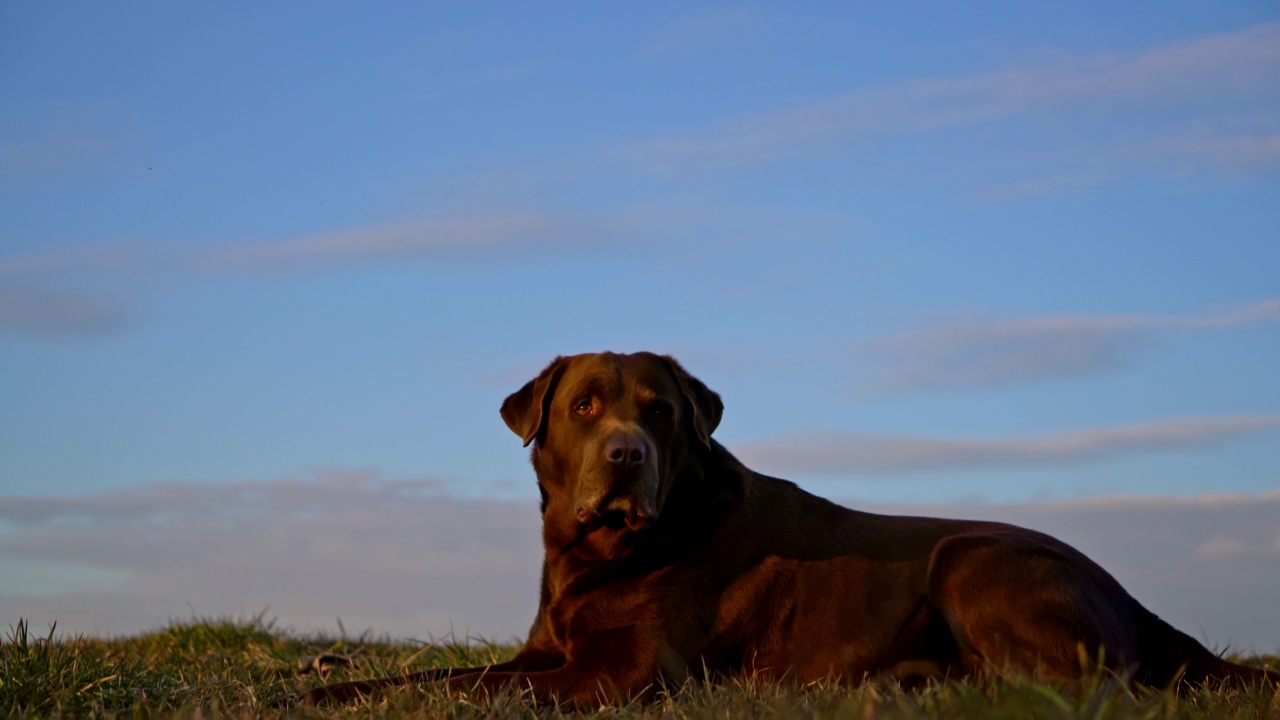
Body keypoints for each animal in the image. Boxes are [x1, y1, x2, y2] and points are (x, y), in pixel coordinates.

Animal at [302, 351, 1280, 702]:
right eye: (584, 407)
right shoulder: (543, 651)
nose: (624, 455)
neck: (600, 552)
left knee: (1085, 687)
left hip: (972, 557)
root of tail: (1141, 602)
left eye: (659, 412)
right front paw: (324, 689)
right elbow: (435, 674)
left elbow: (476, 690)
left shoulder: (622, 673)